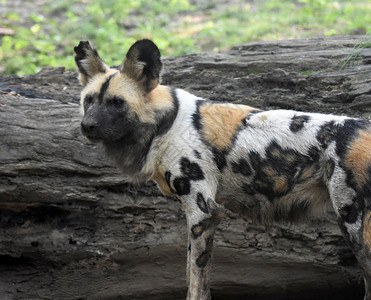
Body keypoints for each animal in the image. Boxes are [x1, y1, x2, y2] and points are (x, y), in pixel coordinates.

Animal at [75, 38, 371, 298]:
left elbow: (197, 282)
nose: (87, 126)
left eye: (117, 103)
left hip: (353, 223)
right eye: (88, 100)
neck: (163, 125)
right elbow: (190, 274)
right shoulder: (197, 220)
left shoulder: (203, 214)